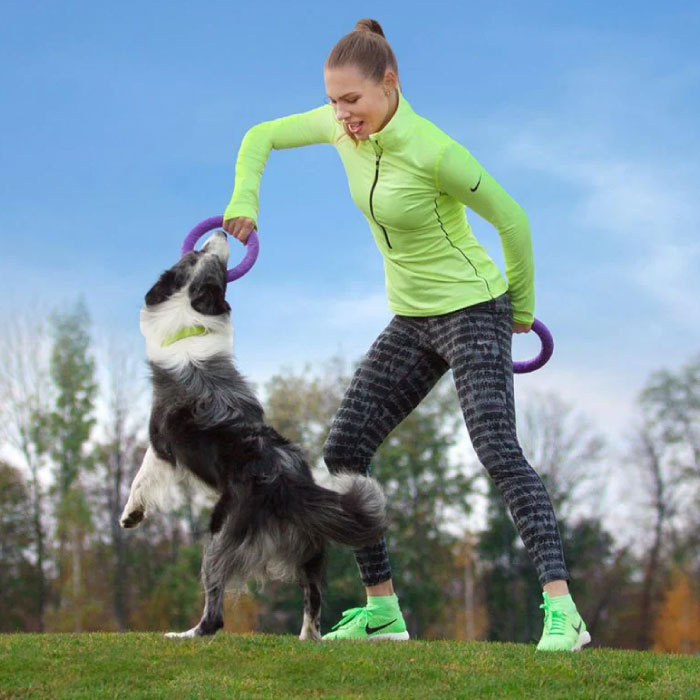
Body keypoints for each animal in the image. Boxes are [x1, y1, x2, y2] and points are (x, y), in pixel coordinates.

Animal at [117, 231, 386, 640]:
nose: (223, 232)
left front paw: (131, 515)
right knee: (313, 597)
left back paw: (186, 634)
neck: (188, 321)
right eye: (200, 255)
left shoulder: (162, 442)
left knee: (215, 609)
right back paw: (308, 639)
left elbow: (142, 476)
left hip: (220, 532)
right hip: (309, 544)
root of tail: (287, 480)